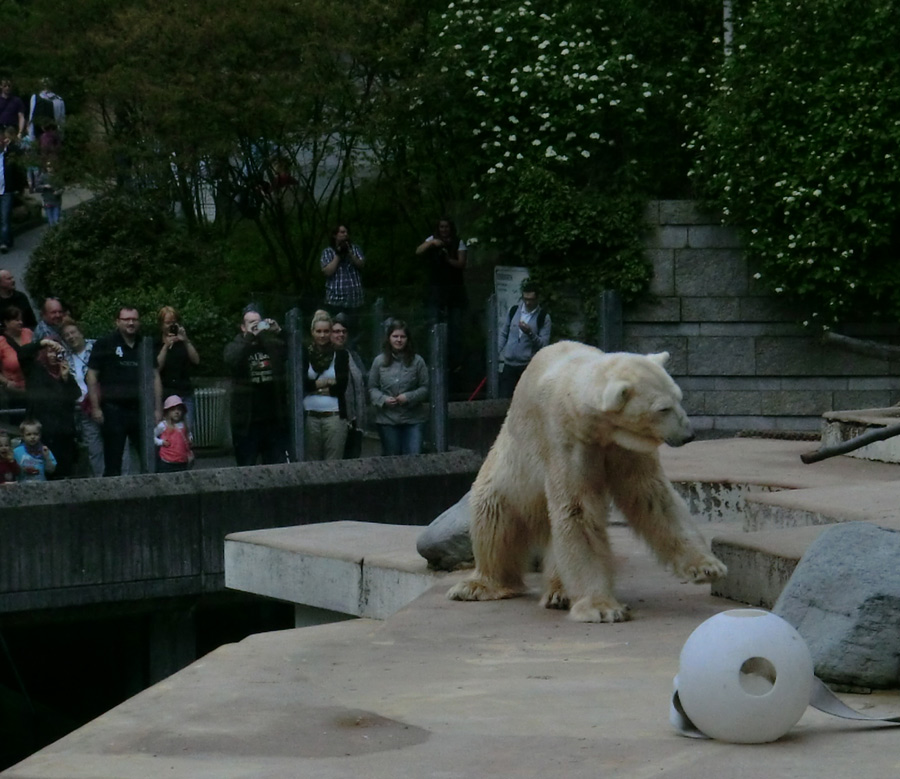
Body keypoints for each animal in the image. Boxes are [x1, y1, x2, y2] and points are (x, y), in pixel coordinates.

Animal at [446, 344, 728, 624]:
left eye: (679, 397)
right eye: (663, 408)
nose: (689, 434)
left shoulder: (623, 447)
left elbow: (651, 496)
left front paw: (708, 567)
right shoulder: (566, 441)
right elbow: (577, 510)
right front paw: (603, 608)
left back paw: (559, 594)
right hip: (508, 473)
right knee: (492, 514)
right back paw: (481, 586)